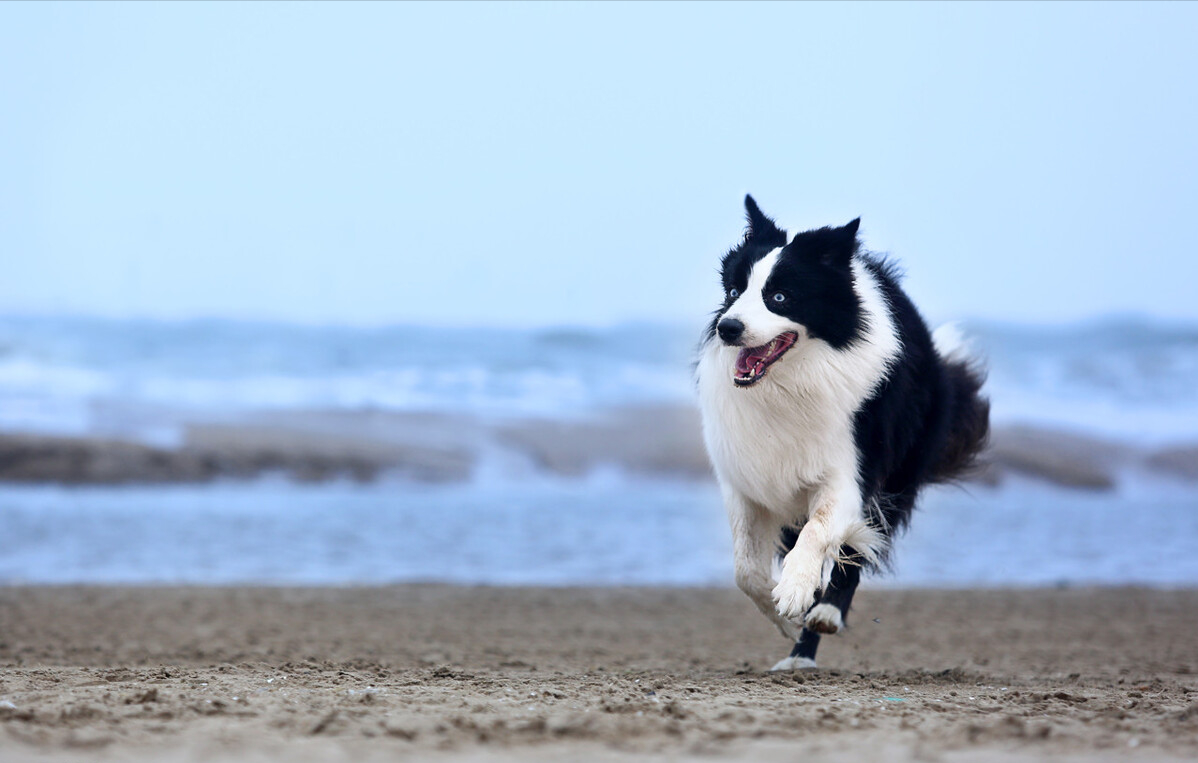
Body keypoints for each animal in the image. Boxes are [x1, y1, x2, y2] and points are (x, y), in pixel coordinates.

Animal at [699, 195, 987, 665]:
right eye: (734, 291)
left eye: (780, 297)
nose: (728, 328)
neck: (791, 383)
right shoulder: (747, 477)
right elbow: (746, 569)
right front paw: (784, 612)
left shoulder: (851, 472)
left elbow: (819, 532)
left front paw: (797, 592)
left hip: (898, 470)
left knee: (859, 546)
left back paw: (823, 617)